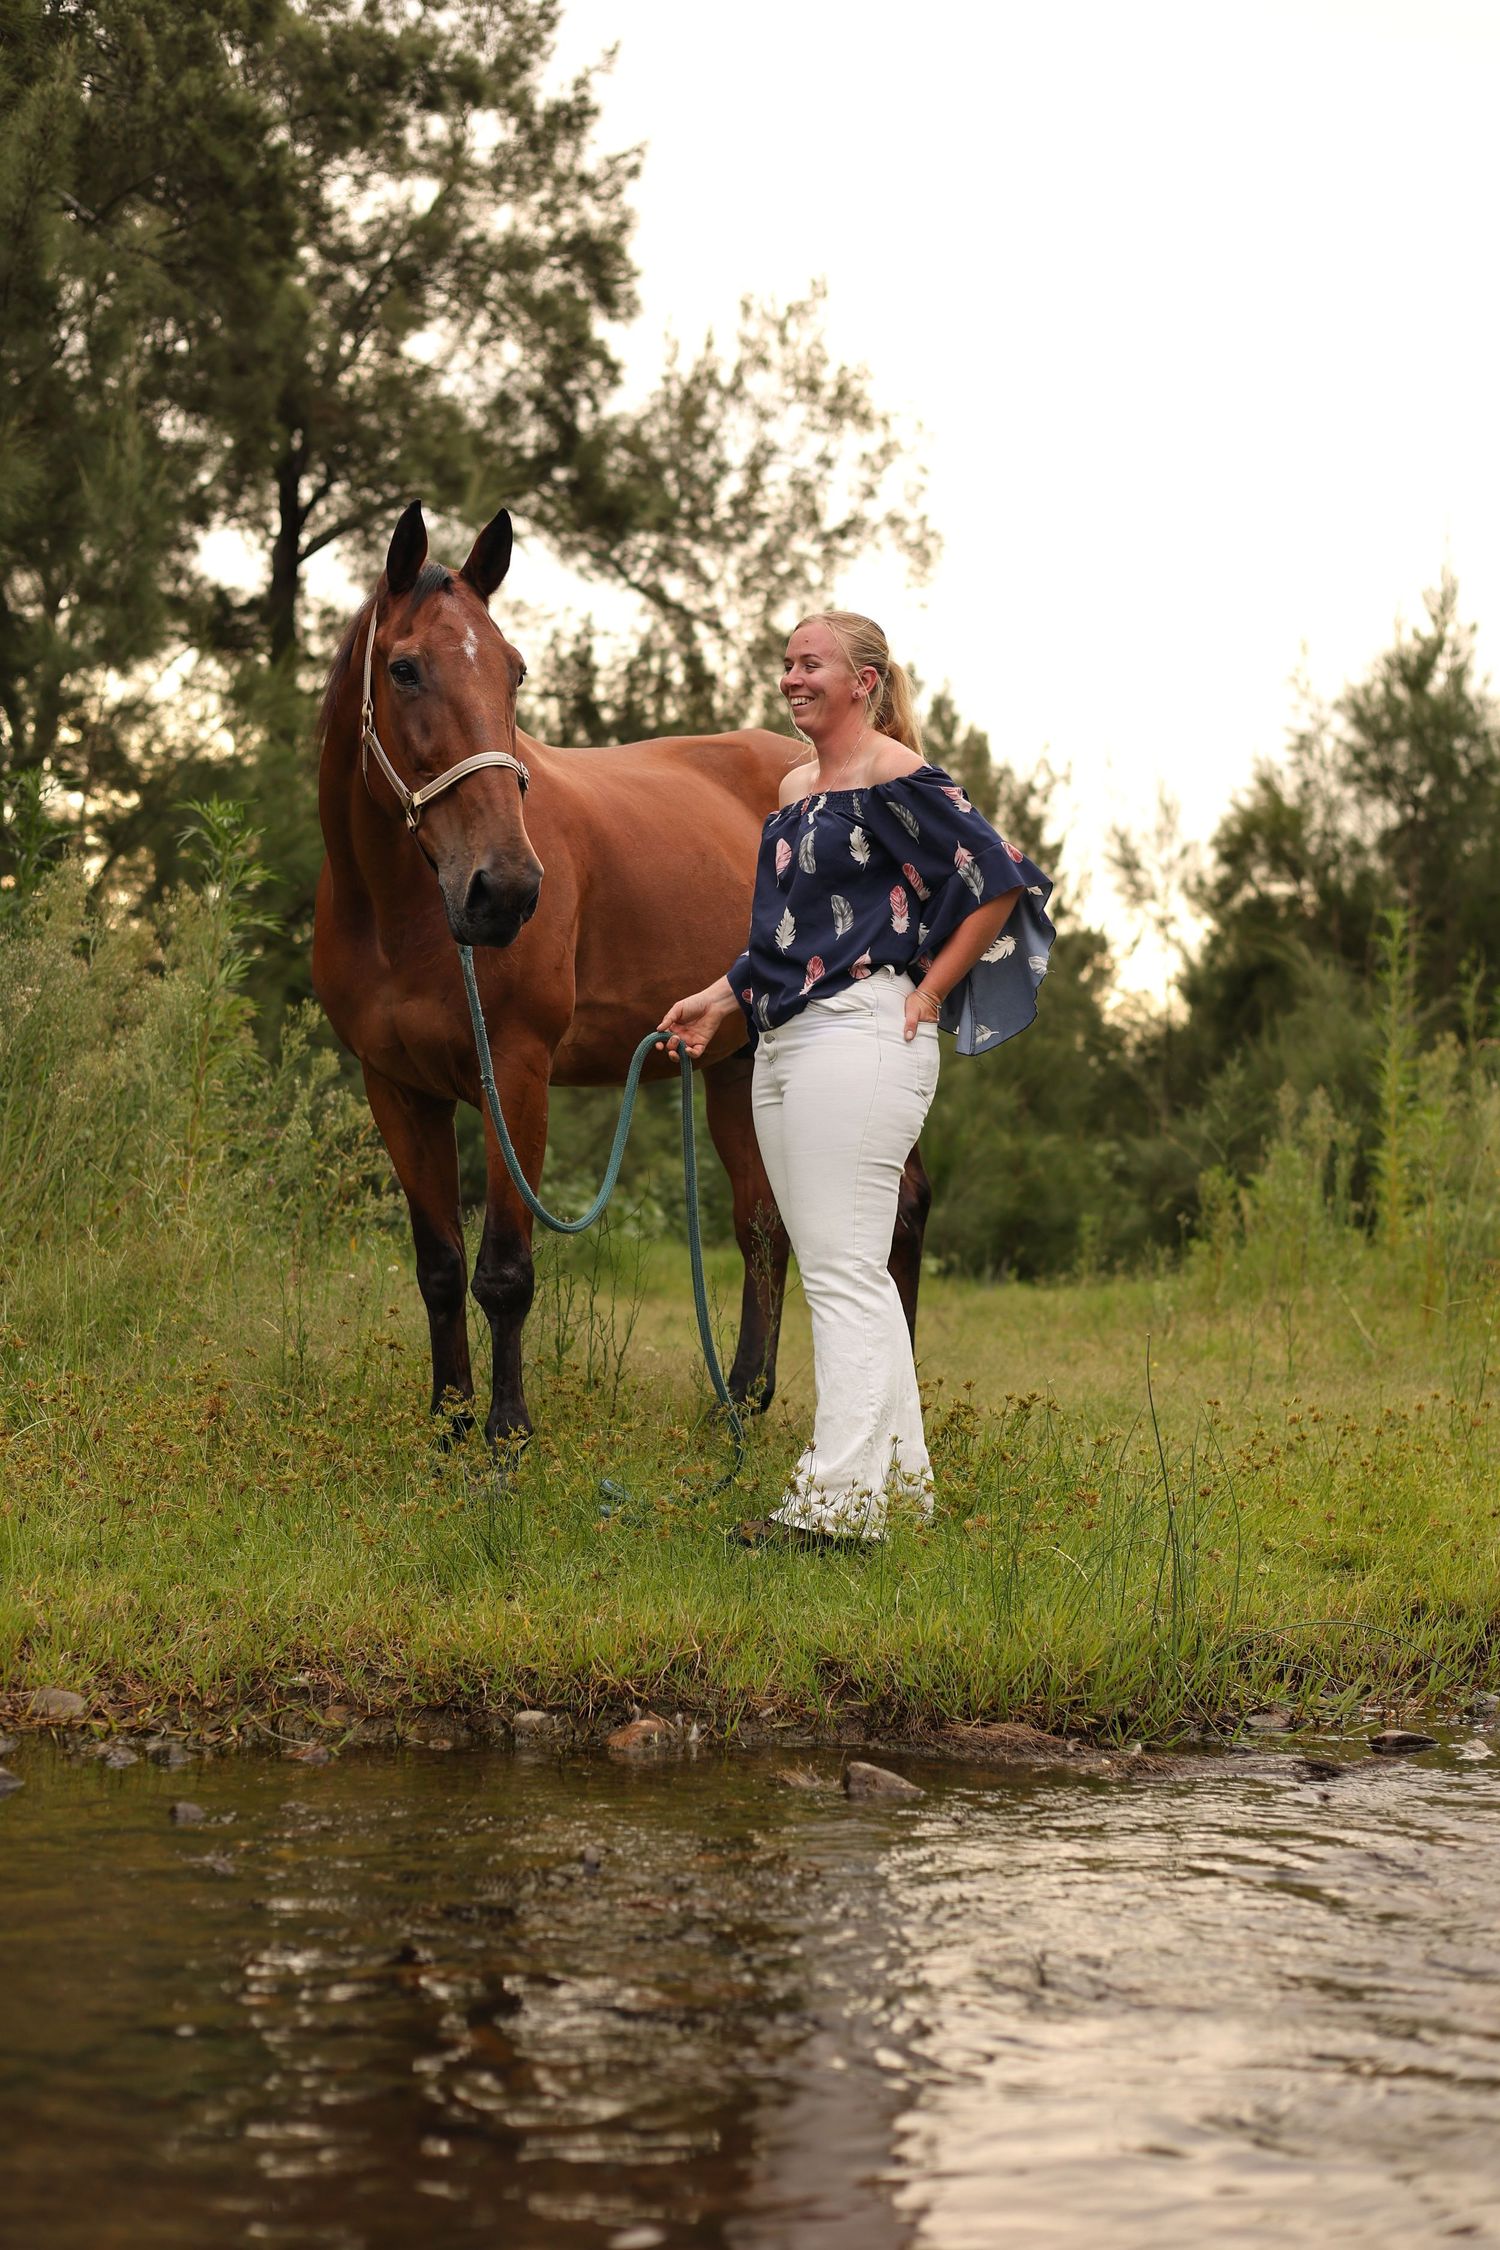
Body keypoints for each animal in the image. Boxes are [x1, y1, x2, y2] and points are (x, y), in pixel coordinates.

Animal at [312, 500, 933, 1447]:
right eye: (405, 669)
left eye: (515, 672)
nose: (505, 891)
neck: (398, 911)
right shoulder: (396, 1089)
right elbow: (440, 1268)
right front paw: (448, 1431)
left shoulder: (516, 1073)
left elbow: (505, 1271)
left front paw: (506, 1440)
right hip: (739, 1067)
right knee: (764, 1226)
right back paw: (738, 1402)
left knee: (897, 1211)